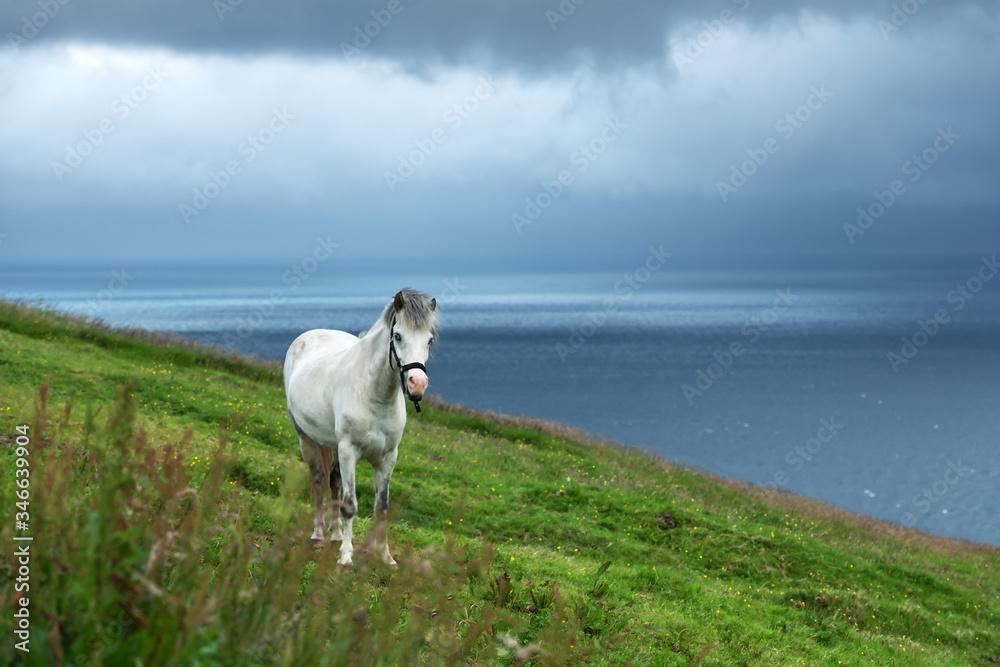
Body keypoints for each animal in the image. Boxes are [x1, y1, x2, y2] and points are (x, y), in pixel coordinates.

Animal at [282, 290, 438, 568]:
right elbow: (351, 505)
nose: (417, 384)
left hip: (333, 446)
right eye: (398, 336)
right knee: (318, 479)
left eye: (429, 340)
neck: (374, 394)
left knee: (333, 480)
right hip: (306, 438)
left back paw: (335, 534)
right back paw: (319, 534)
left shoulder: (388, 458)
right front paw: (346, 556)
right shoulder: (349, 452)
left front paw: (385, 556)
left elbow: (381, 507)